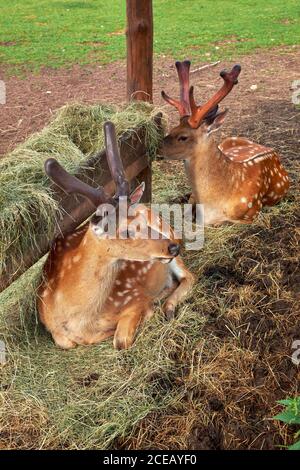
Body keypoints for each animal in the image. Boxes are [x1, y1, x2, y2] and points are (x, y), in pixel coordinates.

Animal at [37, 121, 193, 348]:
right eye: (126, 230)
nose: (172, 247)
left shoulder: (135, 297)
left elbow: (120, 341)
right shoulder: (56, 332)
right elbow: (67, 342)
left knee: (188, 277)